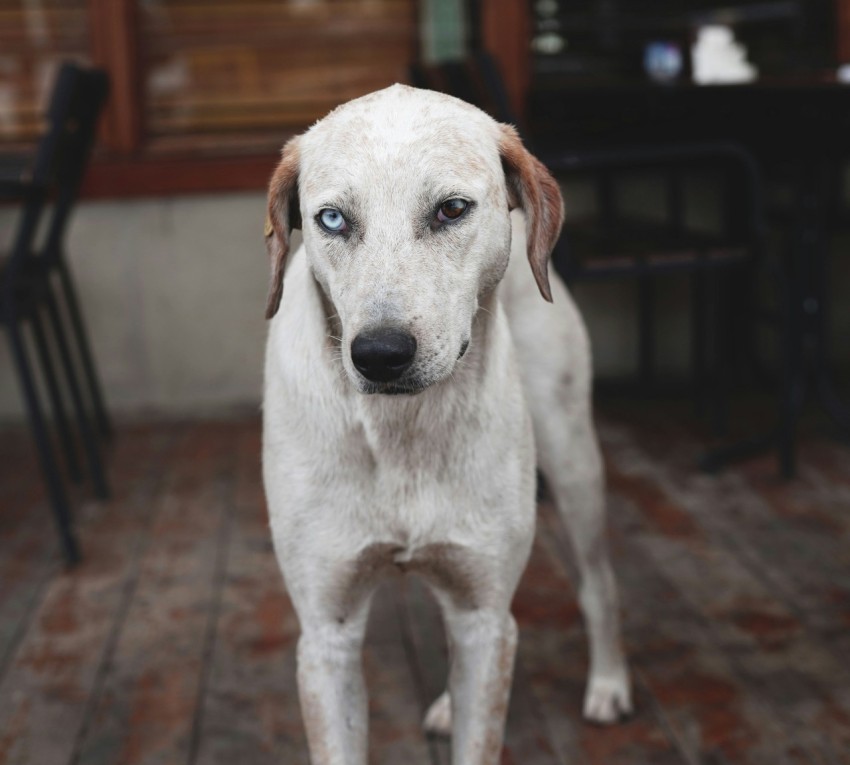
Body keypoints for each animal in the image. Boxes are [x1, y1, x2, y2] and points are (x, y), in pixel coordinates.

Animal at [262, 85, 628, 764]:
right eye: (332, 219)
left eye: (452, 209)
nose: (379, 354)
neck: (401, 429)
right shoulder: (327, 632)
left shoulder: (486, 617)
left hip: (572, 458)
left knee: (599, 582)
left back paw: (610, 683)